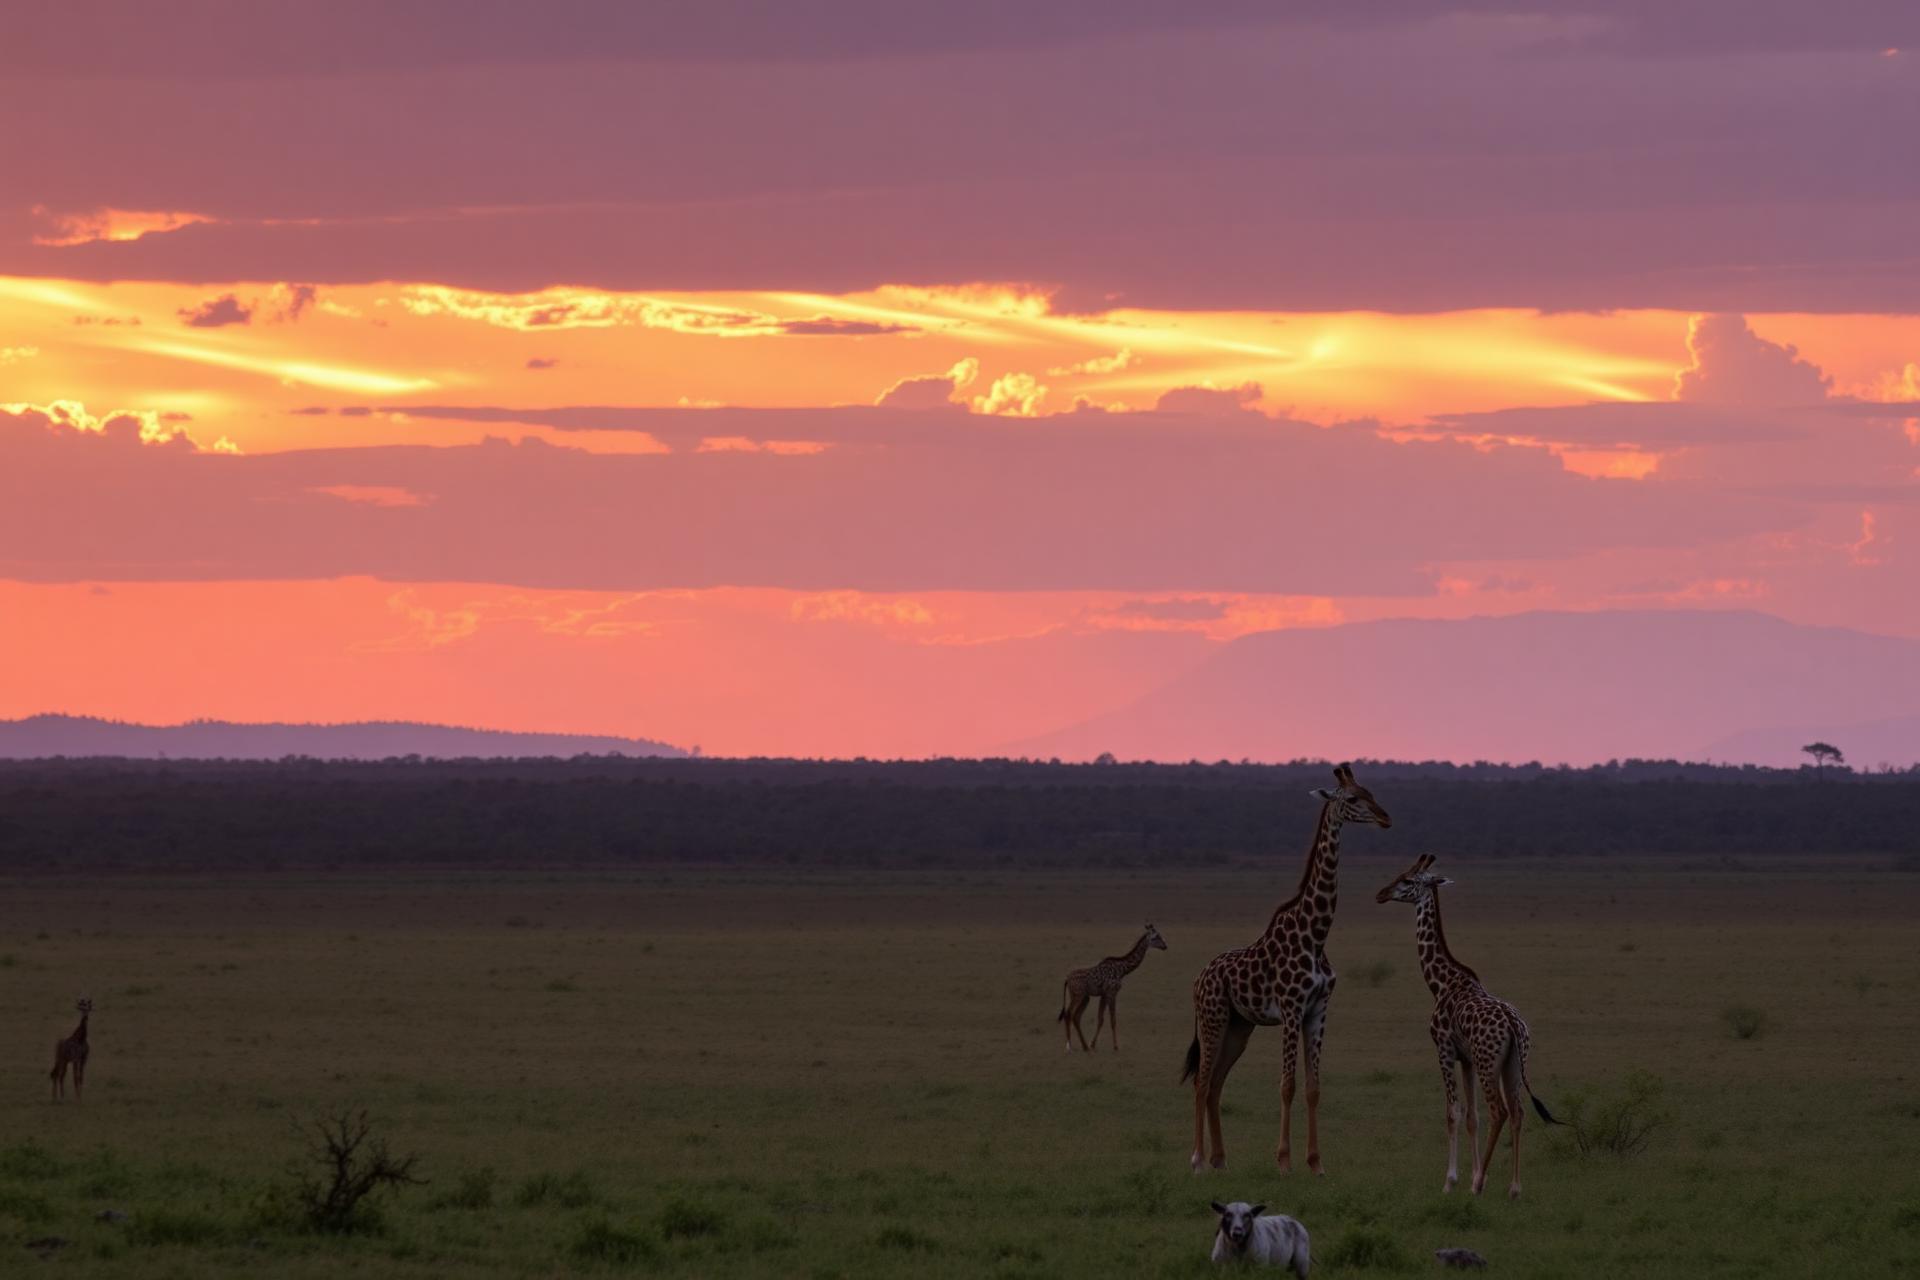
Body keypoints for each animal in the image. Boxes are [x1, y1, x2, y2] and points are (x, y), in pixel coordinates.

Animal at [1057, 924, 1168, 1052]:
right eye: (1156, 936)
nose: (1165, 946)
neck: (1122, 970)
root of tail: (1067, 979)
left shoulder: (1104, 995)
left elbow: (1100, 1019)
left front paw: (1092, 1044)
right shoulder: (1112, 993)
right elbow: (1112, 1020)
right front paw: (1115, 1046)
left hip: (1085, 997)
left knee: (1076, 1017)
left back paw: (1084, 1046)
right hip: (1077, 995)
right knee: (1068, 1014)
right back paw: (1069, 1046)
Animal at [1182, 763, 1391, 1173]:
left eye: (1371, 791)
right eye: (1353, 797)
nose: (1385, 818)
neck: (1316, 935)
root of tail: (1198, 978)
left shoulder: (1318, 1010)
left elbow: (1313, 1088)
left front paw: (1316, 1163)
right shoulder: (1292, 1009)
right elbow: (1287, 1084)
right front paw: (1283, 1161)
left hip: (1238, 1026)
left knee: (1216, 1083)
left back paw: (1220, 1160)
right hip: (1212, 1018)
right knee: (1201, 1081)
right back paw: (1197, 1160)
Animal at [1376, 855, 1561, 1198]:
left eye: (1407, 880)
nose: (1381, 894)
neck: (1441, 983)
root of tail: (1514, 1025)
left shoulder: (1444, 1049)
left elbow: (1454, 1113)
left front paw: (1453, 1181)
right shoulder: (1467, 1059)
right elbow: (1472, 1116)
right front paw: (1476, 1173)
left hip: (1491, 1064)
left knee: (1500, 1111)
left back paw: (1478, 1187)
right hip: (1513, 1064)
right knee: (1517, 1111)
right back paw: (1514, 1188)